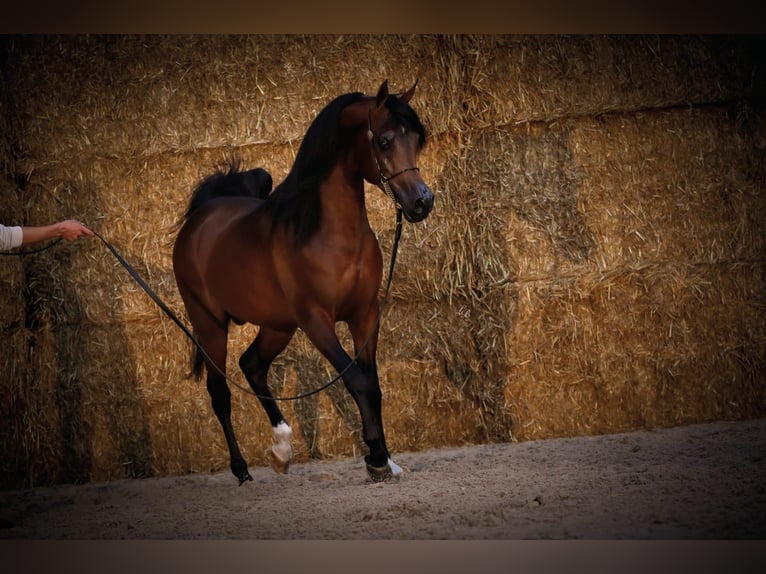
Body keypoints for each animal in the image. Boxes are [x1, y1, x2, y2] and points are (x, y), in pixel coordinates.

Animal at [176, 81, 436, 486]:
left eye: (417, 140)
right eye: (385, 141)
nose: (422, 202)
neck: (327, 233)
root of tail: (200, 218)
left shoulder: (365, 314)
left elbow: (373, 384)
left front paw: (385, 460)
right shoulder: (317, 321)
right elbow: (357, 381)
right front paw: (377, 460)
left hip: (278, 325)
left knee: (252, 364)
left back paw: (282, 449)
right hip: (209, 323)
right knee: (219, 391)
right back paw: (241, 470)